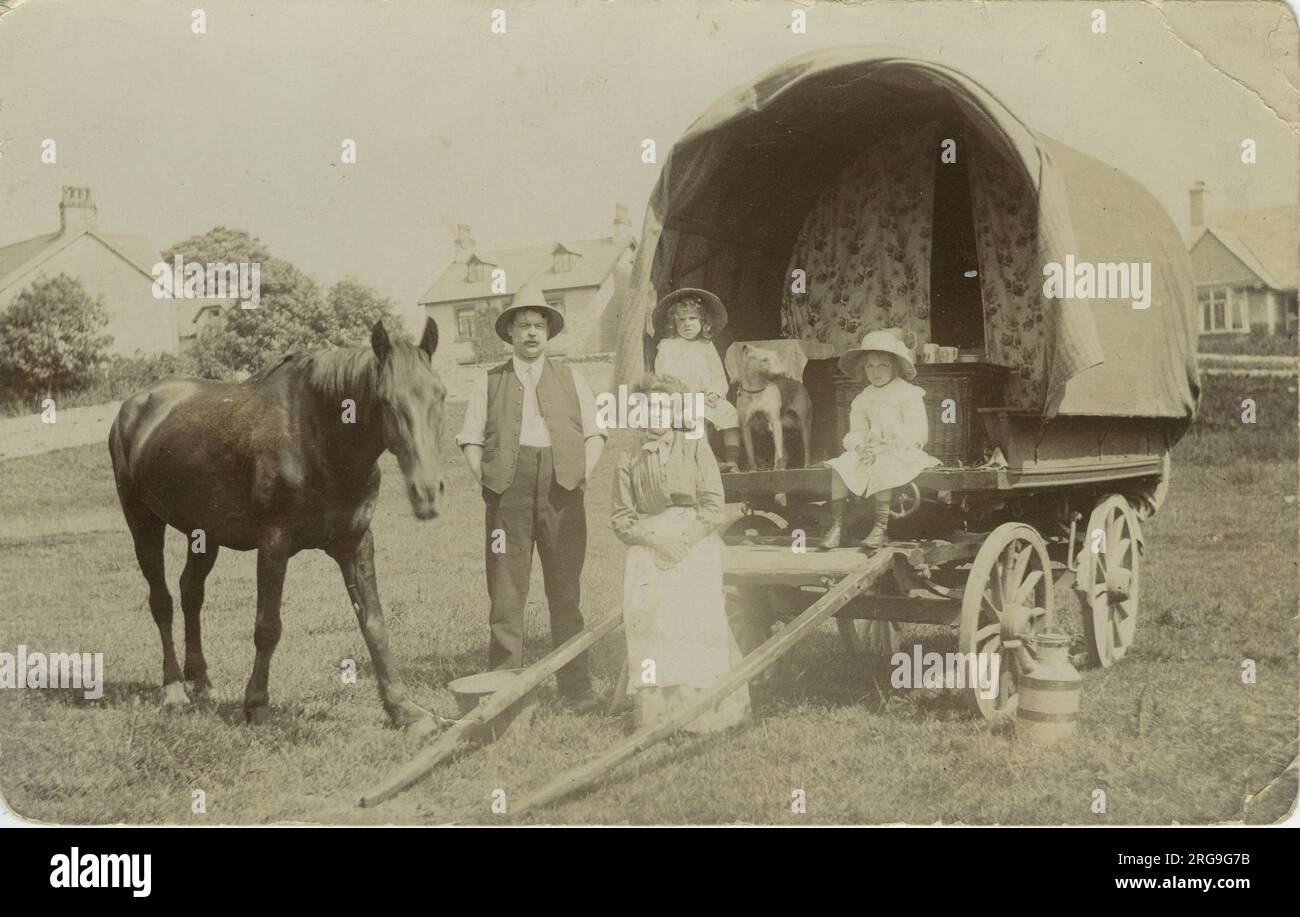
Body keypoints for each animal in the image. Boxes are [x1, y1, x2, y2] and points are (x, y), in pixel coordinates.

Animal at [111, 318, 447, 733]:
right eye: (385, 400)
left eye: (441, 395)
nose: (427, 492)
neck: (318, 437)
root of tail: (133, 407)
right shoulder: (274, 544)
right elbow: (268, 627)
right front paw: (257, 705)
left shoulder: (355, 543)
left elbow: (374, 623)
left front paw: (404, 709)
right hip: (143, 523)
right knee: (162, 600)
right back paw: (174, 688)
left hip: (203, 534)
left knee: (191, 592)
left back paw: (200, 682)